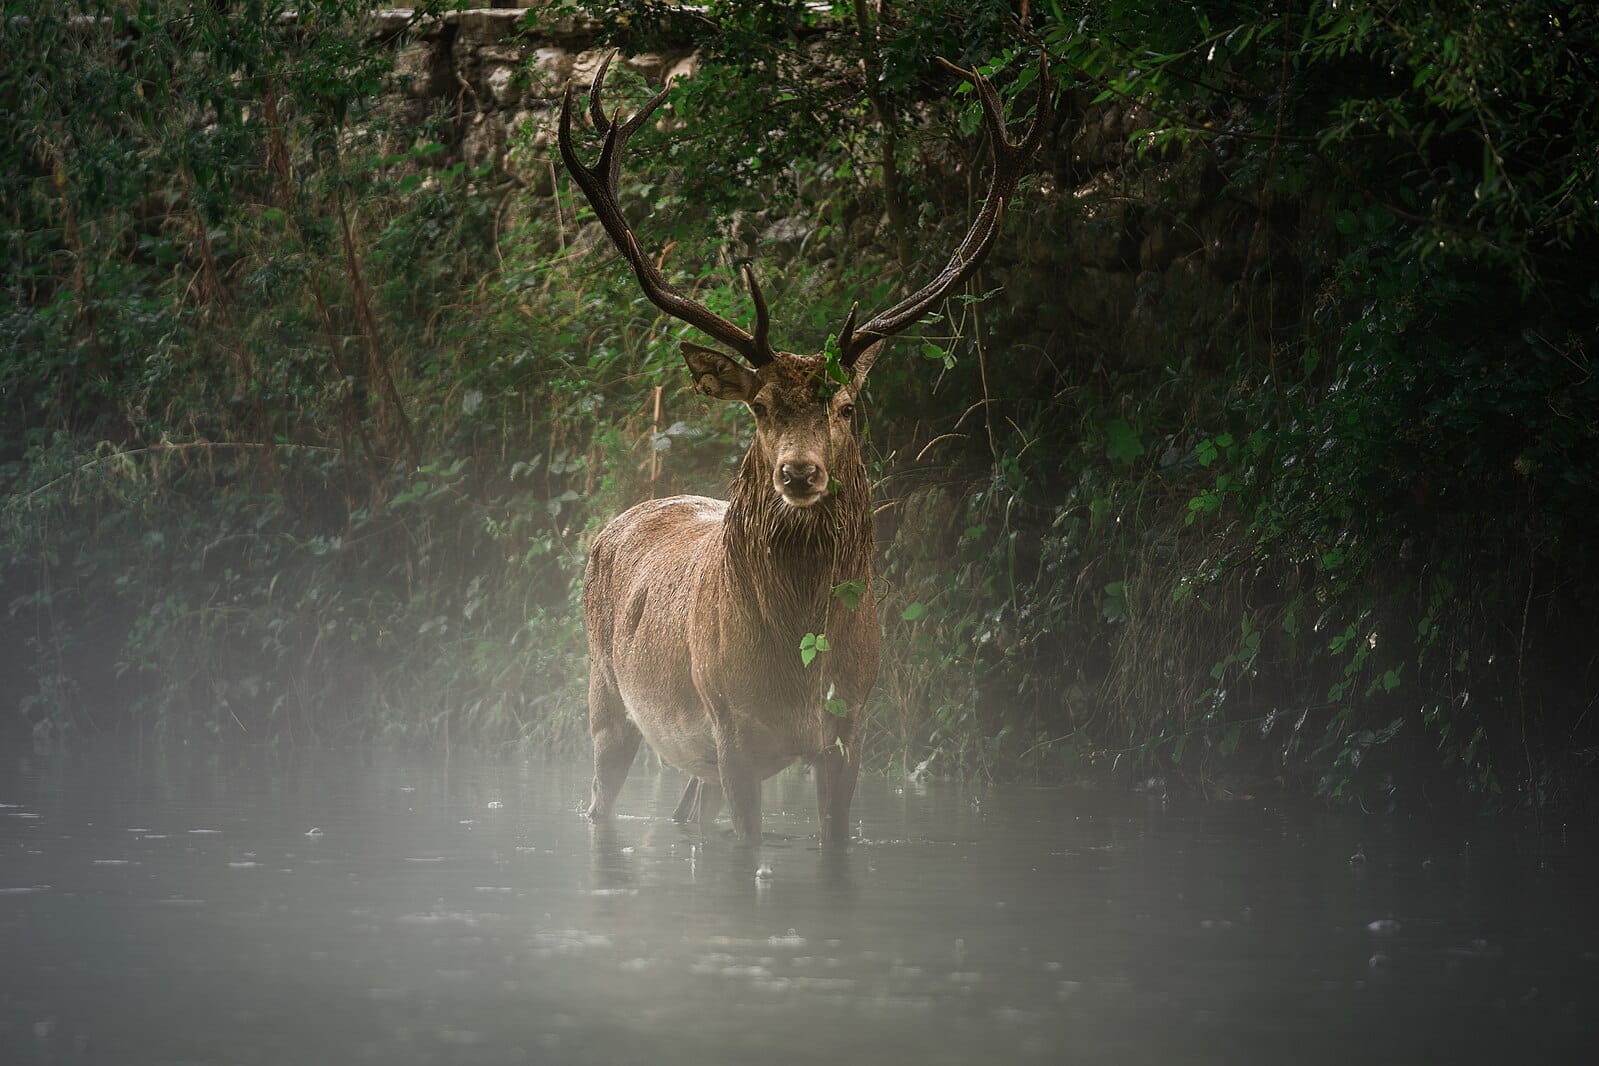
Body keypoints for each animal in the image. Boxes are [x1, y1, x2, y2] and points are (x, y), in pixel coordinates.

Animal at [561, 51, 1051, 847]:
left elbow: (832, 840)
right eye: (759, 407)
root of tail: (616, 521)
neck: (795, 667)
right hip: (607, 695)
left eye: (847, 406)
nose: (798, 472)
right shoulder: (728, 726)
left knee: (686, 815)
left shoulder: (850, 726)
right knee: (602, 798)